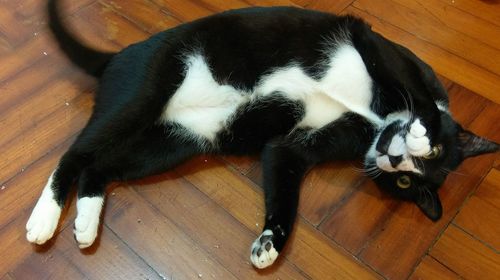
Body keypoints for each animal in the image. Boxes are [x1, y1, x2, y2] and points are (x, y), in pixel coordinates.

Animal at [28, 0, 500, 270]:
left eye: (403, 182)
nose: (397, 161)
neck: (374, 121)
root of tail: (116, 58)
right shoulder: (383, 50)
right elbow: (422, 98)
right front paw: (423, 131)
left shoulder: (292, 147)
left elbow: (284, 187)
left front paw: (271, 243)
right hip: (144, 90)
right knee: (74, 154)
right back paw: (44, 219)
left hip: (172, 143)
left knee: (101, 167)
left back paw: (85, 224)